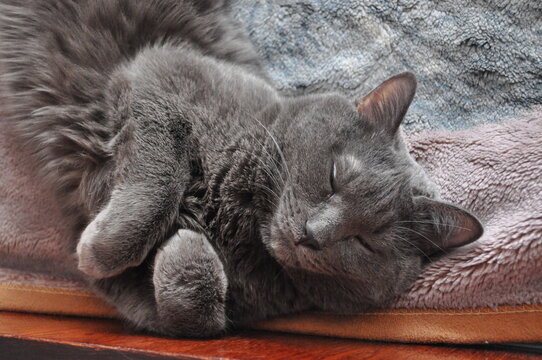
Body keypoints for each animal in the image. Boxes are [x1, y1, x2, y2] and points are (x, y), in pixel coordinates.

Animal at [0, 0, 484, 338]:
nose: (313, 233)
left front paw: (185, 252)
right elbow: (160, 178)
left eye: (367, 242)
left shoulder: (156, 301)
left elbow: (199, 320)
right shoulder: (162, 71)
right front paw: (104, 248)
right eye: (334, 177)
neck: (243, 218)